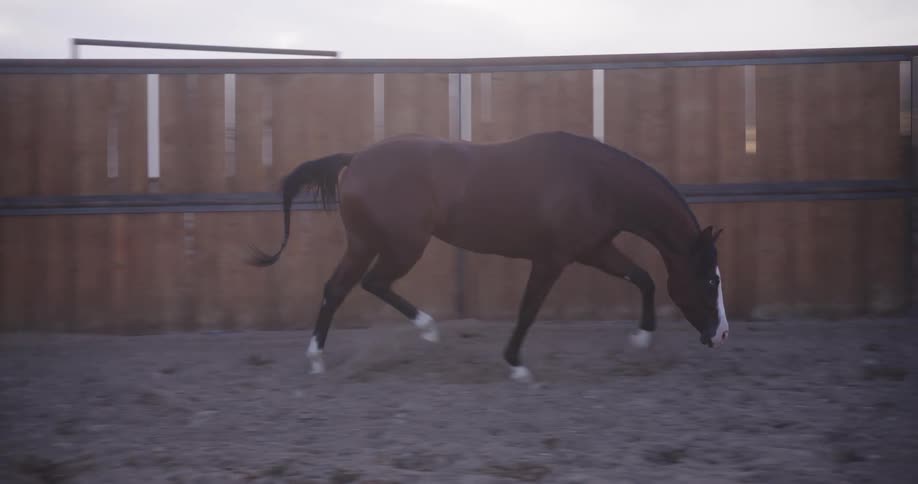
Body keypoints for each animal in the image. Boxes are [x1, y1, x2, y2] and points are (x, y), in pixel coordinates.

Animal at [247, 130, 729, 381]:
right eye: (710, 280)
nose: (721, 334)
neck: (595, 182)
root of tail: (357, 158)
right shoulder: (554, 259)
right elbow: (528, 310)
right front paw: (516, 365)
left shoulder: (594, 249)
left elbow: (644, 277)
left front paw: (642, 338)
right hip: (402, 245)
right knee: (369, 283)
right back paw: (427, 330)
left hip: (366, 244)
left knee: (338, 288)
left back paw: (318, 358)